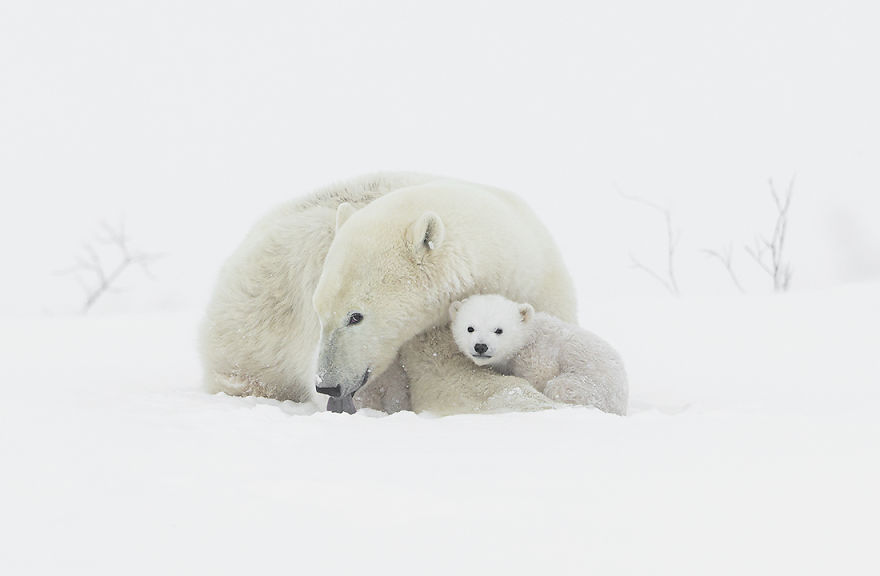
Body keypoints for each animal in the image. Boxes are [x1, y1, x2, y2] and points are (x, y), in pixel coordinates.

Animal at [200, 172, 577, 415]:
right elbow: (450, 382)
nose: (328, 385)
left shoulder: (544, 290)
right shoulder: (431, 331)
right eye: (319, 314)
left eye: (355, 316)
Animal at [449, 294, 628, 415]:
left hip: (592, 388)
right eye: (470, 328)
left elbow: (540, 376)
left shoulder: (538, 356)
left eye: (499, 330)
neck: (527, 337)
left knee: (561, 386)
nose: (481, 346)